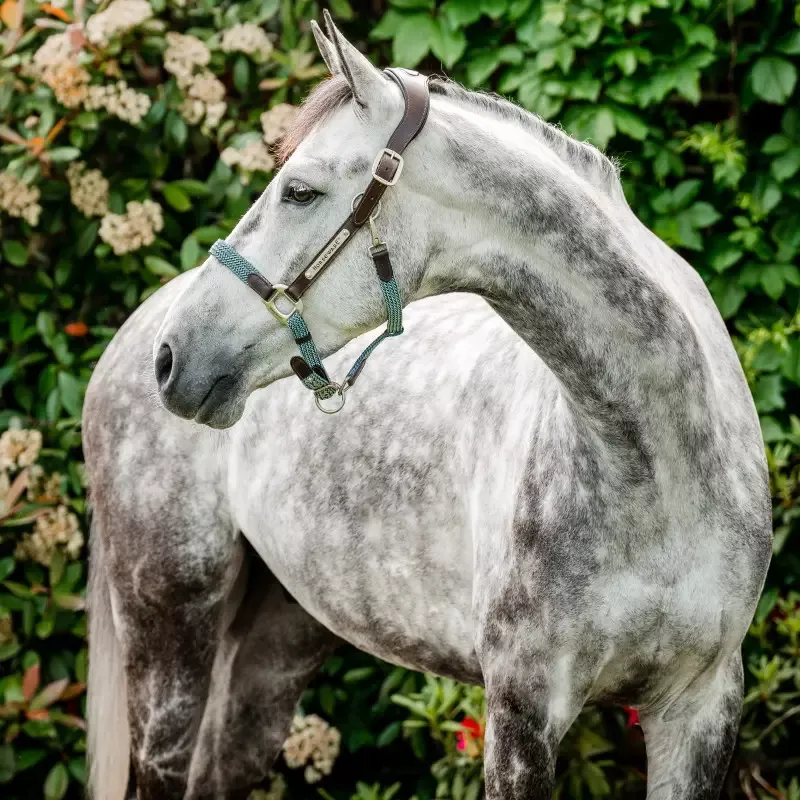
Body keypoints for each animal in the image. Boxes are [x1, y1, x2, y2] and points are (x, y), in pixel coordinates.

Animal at [84, 13, 772, 800]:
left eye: (299, 191)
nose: (173, 358)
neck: (656, 468)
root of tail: (131, 333)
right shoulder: (523, 709)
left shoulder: (701, 710)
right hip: (168, 627)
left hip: (277, 635)